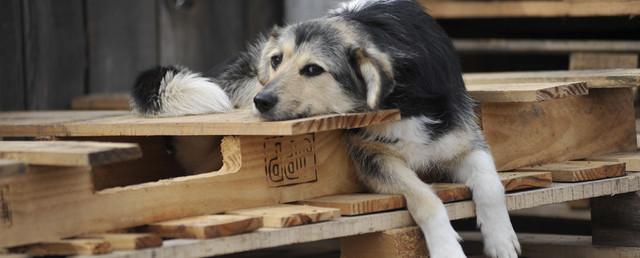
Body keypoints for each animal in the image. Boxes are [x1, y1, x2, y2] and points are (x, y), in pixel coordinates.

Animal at [130, 1, 520, 256]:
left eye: (313, 69)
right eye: (277, 60)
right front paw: (446, 247)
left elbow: (491, 185)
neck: (402, 95)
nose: (262, 101)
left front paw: (501, 239)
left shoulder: (465, 140)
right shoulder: (371, 156)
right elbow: (427, 199)